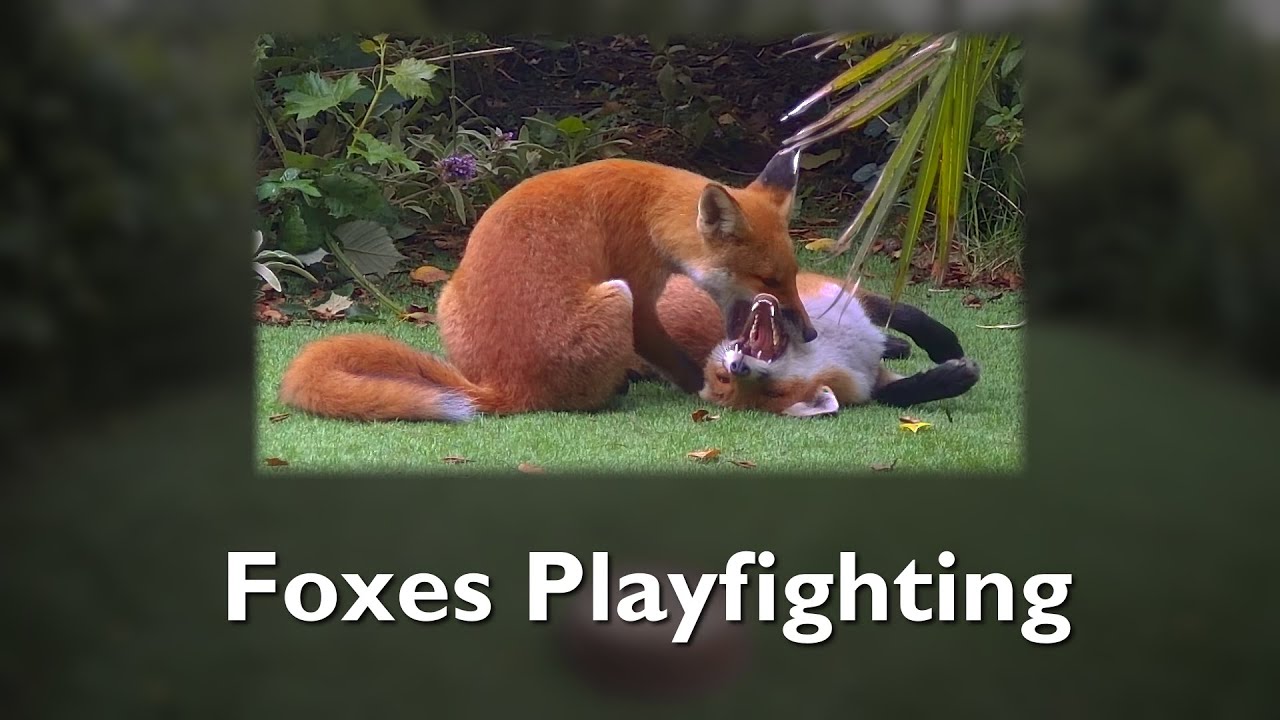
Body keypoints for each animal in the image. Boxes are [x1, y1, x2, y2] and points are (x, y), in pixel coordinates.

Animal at [279, 151, 817, 422]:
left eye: (792, 276)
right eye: (768, 280)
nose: (811, 334)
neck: (651, 210)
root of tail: (505, 388)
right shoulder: (640, 297)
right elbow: (677, 360)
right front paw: (711, 386)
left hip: (446, 295)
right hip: (614, 297)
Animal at [647, 272, 981, 417]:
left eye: (722, 377)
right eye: (773, 394)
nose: (737, 366)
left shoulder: (842, 293)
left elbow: (907, 314)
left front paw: (945, 346)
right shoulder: (866, 382)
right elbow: (898, 394)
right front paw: (954, 378)